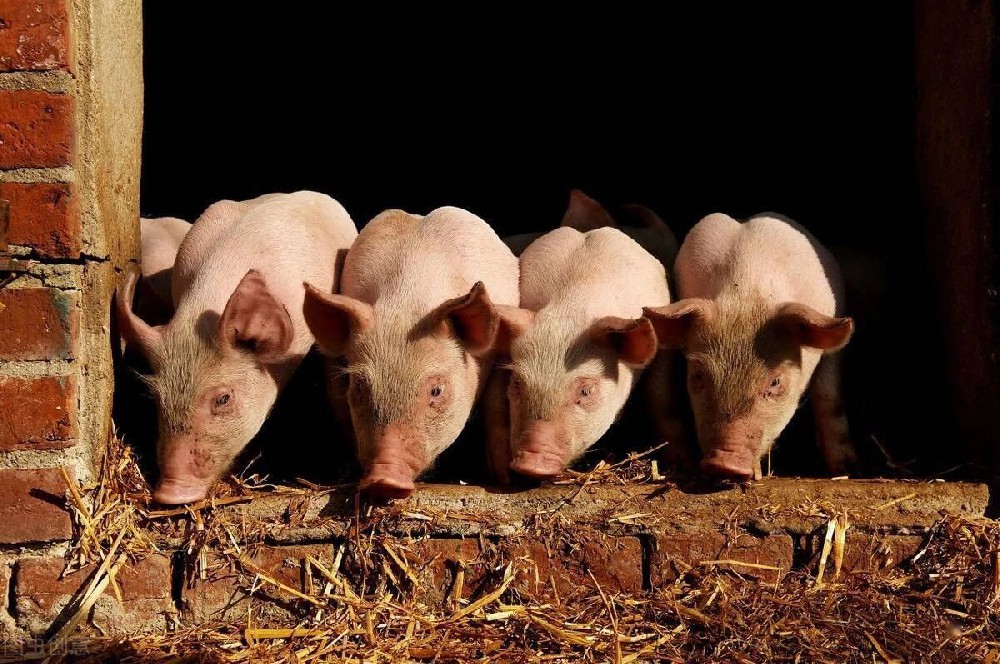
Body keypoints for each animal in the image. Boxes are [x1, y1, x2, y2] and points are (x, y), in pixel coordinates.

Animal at [643, 212, 857, 481]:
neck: (747, 295)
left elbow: (829, 399)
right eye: (698, 375)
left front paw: (847, 470)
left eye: (775, 382)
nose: (724, 463)